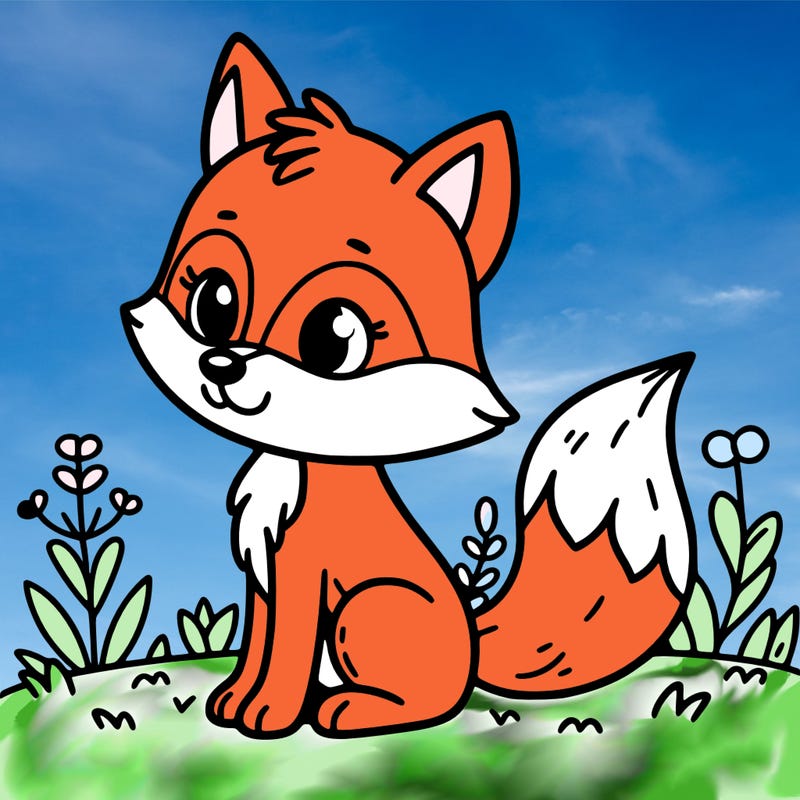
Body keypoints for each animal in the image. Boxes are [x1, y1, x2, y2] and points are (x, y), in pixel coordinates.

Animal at [122, 33, 696, 738]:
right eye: (213, 302)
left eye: (334, 337)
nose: (223, 365)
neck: (297, 463)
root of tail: (473, 647)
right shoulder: (261, 571)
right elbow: (258, 643)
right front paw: (232, 701)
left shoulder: (301, 572)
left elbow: (285, 651)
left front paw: (268, 713)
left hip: (369, 607)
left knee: (430, 702)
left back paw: (352, 710)